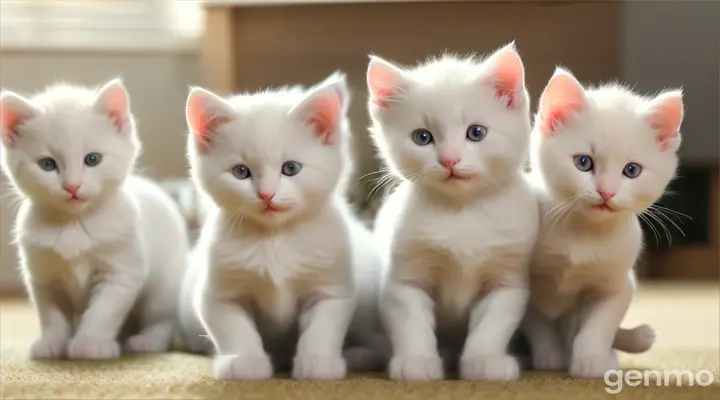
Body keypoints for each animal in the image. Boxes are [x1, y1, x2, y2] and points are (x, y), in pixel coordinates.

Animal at [0, 79, 188, 360]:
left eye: (92, 159)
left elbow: (103, 311)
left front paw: (91, 342)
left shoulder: (122, 272)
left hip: (164, 287)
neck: (73, 223)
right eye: (47, 164)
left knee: (162, 318)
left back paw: (147, 341)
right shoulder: (42, 275)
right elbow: (51, 314)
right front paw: (52, 342)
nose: (72, 186)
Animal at [184, 72, 388, 382]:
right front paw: (245, 362)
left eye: (290, 168)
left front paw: (317, 363)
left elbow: (323, 327)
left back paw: (360, 356)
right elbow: (233, 327)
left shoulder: (332, 287)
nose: (266, 194)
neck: (274, 239)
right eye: (241, 172)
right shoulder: (218, 291)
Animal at [368, 41, 536, 382]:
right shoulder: (405, 276)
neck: (462, 213)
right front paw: (416, 362)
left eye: (476, 132)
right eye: (422, 137)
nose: (449, 160)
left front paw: (485, 361)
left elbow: (493, 324)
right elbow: (410, 321)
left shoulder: (507, 278)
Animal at [524, 68, 680, 378]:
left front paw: (591, 361)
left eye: (631, 170)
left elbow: (599, 326)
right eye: (583, 162)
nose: (606, 192)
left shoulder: (619, 283)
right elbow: (538, 322)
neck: (583, 233)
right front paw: (549, 356)